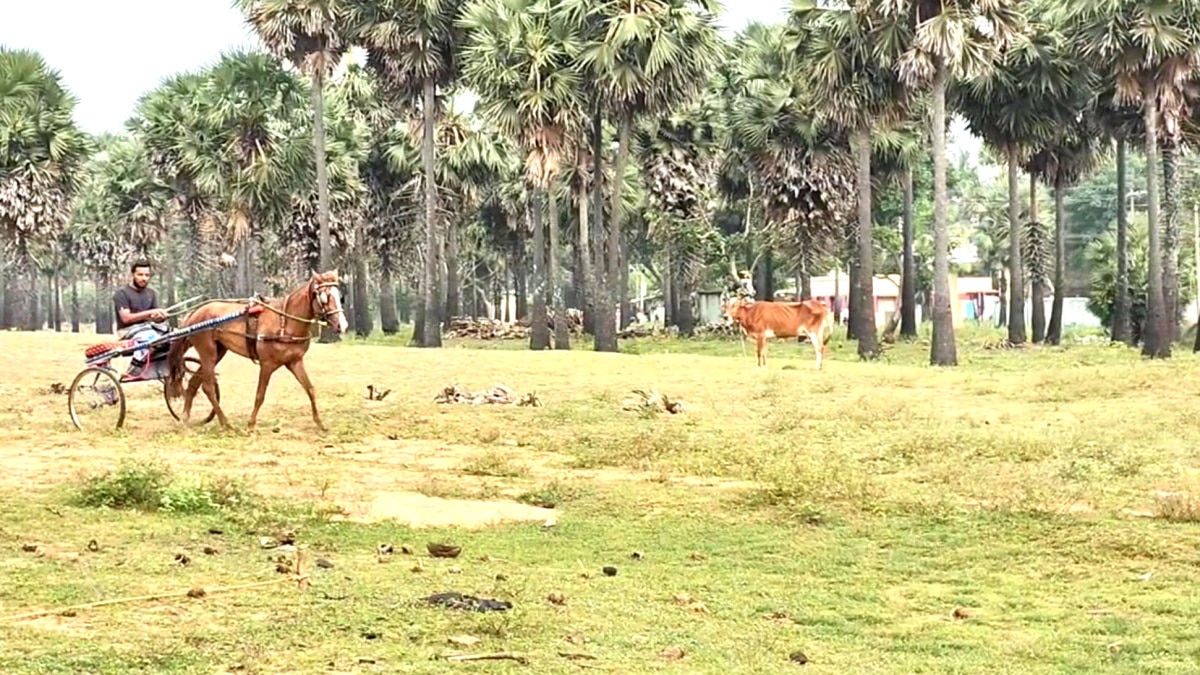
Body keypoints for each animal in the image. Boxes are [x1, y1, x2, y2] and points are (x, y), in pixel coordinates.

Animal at [163, 269, 348, 429]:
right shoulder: (267, 364)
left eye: (339, 296)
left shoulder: (295, 362)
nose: (342, 325)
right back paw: (225, 423)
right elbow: (260, 394)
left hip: (218, 352)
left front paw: (319, 423)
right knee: (208, 387)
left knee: (194, 384)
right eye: (324, 297)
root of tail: (195, 313)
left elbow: (310, 389)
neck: (285, 323)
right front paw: (251, 425)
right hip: (207, 352)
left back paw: (185, 419)